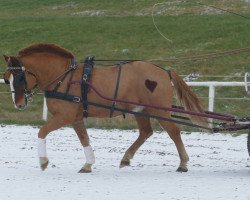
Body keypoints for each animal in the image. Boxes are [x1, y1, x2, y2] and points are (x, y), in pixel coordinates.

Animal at [2, 43, 208, 173]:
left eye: (19, 77)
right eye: (6, 78)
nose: (18, 103)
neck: (64, 77)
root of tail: (164, 72)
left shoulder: (64, 116)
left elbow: (42, 131)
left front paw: (43, 161)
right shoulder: (76, 118)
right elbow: (84, 139)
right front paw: (88, 164)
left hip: (160, 110)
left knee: (174, 132)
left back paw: (183, 163)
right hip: (141, 110)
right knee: (145, 132)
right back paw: (126, 158)